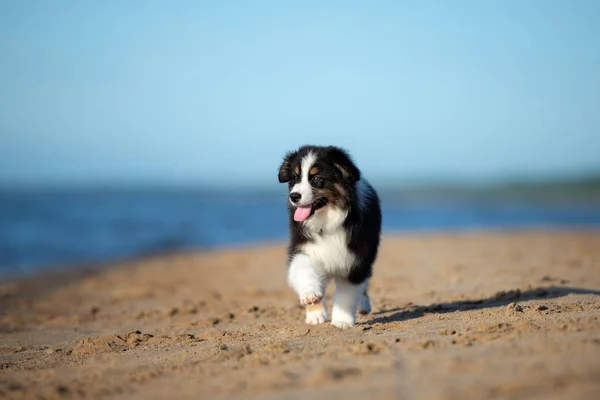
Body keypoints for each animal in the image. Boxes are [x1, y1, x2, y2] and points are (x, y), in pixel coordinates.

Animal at [278, 144, 382, 328]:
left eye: (317, 178)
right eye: (295, 178)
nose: (294, 196)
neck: (326, 220)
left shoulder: (356, 258)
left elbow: (348, 293)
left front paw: (342, 321)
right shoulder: (304, 246)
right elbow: (304, 269)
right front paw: (311, 298)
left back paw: (364, 305)